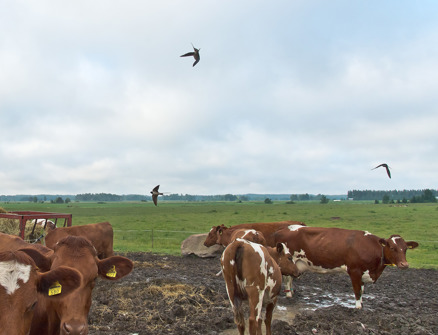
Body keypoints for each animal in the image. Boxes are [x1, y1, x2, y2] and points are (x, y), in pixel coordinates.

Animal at [272, 226, 420, 310]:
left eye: (405, 249)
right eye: (392, 248)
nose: (404, 265)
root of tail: (280, 230)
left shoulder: (363, 273)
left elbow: (362, 289)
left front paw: (362, 304)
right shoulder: (354, 271)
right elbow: (357, 291)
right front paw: (358, 307)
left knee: (290, 279)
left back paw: (291, 293)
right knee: (287, 279)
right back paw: (289, 295)